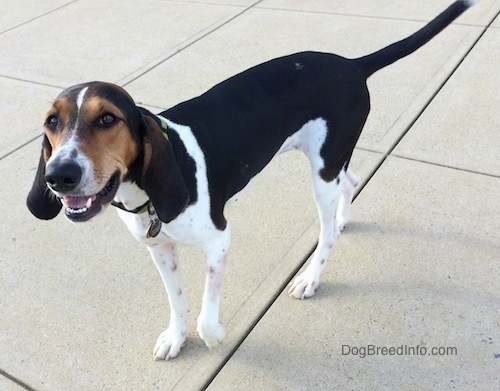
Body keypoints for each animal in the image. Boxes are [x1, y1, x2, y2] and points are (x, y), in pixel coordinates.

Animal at [28, 0, 476, 362]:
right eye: (52, 122)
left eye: (108, 119)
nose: (59, 176)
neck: (146, 195)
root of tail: (351, 64)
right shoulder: (160, 250)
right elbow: (178, 301)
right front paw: (175, 338)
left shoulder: (219, 241)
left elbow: (207, 319)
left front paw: (215, 337)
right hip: (331, 163)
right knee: (351, 180)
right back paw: (343, 218)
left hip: (322, 173)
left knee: (327, 231)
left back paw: (312, 277)